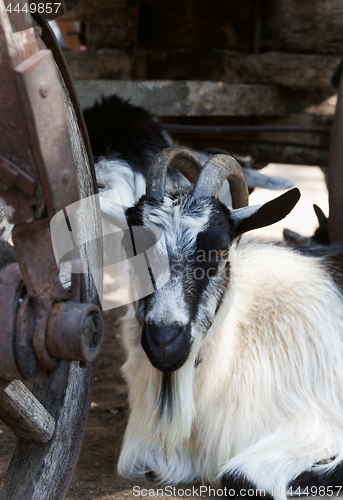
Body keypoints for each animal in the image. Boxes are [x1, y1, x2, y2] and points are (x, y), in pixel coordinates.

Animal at [84, 95, 343, 498]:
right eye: (132, 249)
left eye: (221, 250)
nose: (164, 340)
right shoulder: (146, 452)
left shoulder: (317, 421)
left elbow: (239, 475)